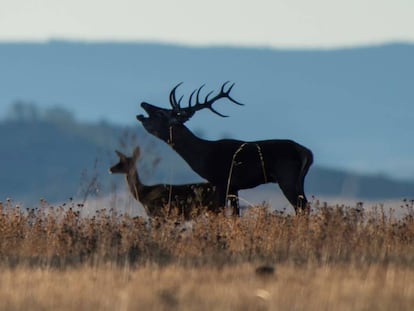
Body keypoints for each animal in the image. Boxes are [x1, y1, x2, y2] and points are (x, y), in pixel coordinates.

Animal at [137, 81, 314, 216]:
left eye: (161, 113)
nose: (143, 103)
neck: (202, 157)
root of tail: (307, 153)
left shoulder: (221, 181)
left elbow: (220, 213)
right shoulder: (234, 187)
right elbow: (235, 215)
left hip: (287, 176)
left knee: (302, 208)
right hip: (299, 180)